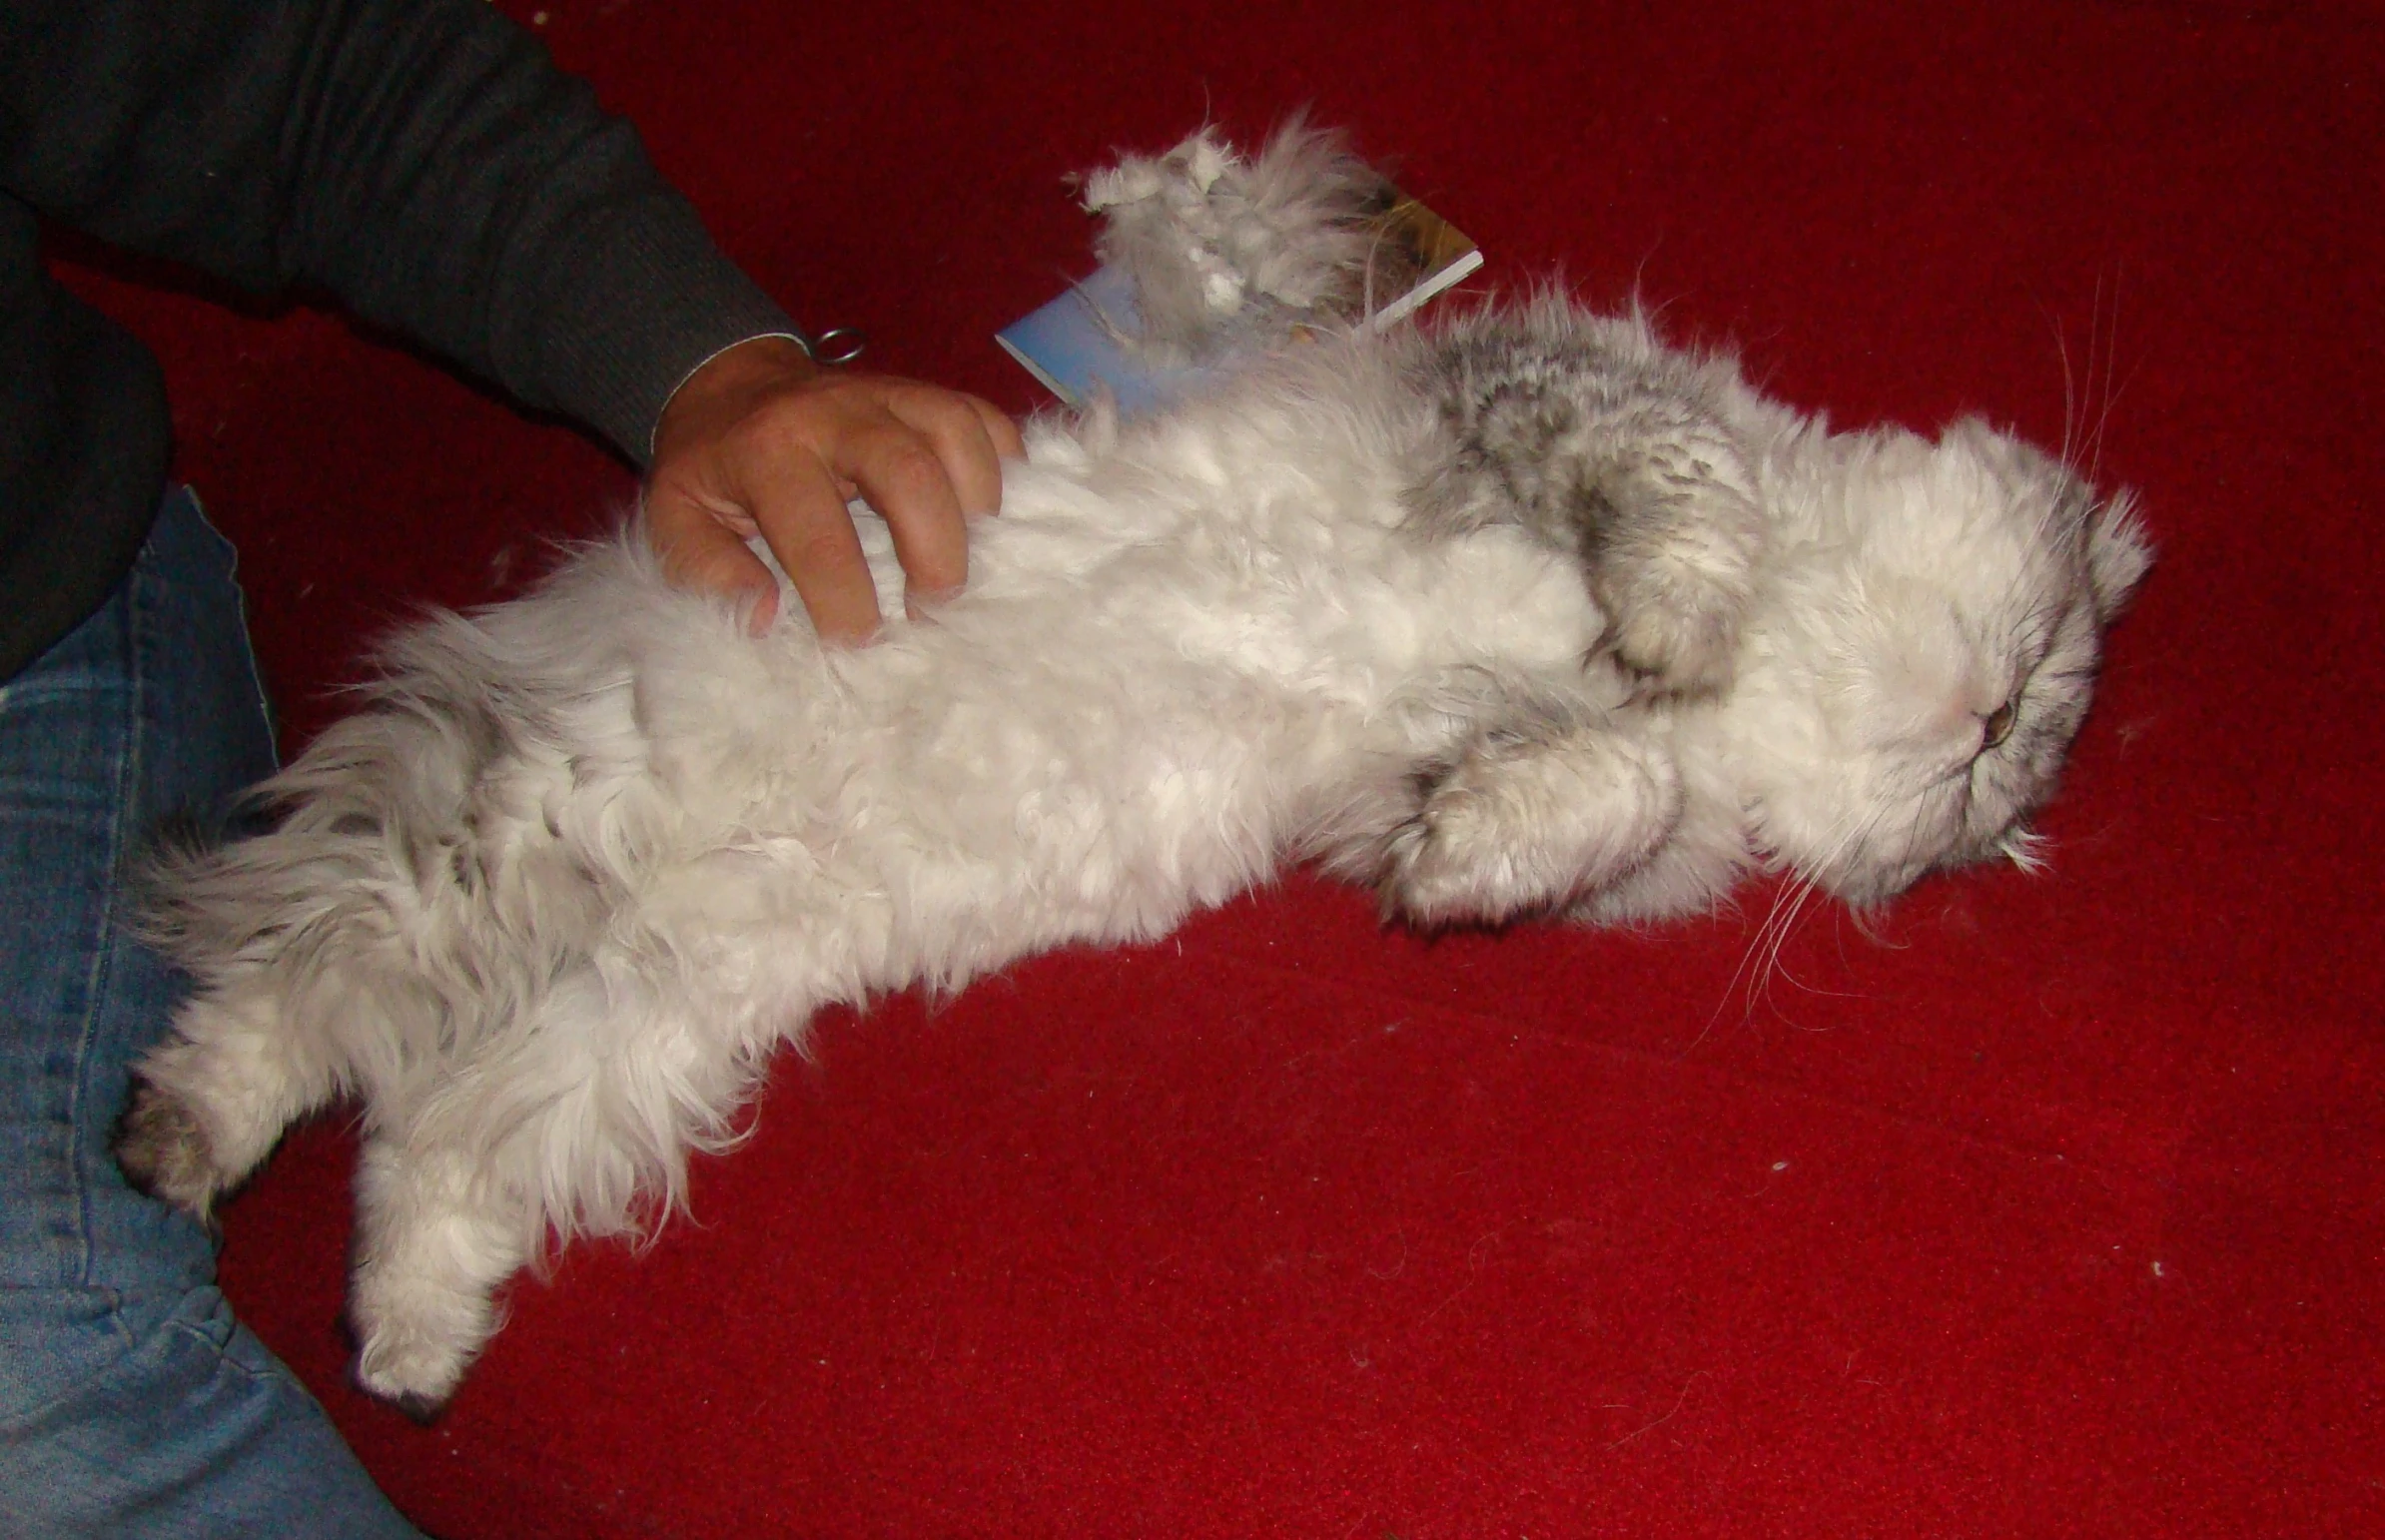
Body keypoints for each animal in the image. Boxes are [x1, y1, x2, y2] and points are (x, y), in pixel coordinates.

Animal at [121, 295, 2155, 1420]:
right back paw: (179, 1146)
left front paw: (1476, 853)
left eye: (2013, 782)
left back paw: (404, 1342)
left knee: (429, 1134)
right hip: (508, 839)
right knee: (285, 990)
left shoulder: (1423, 769)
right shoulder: (1548, 392)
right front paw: (1674, 619)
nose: (1995, 748)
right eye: (2055, 678)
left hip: (647, 1016)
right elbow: (1683, 502)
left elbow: (1596, 794)